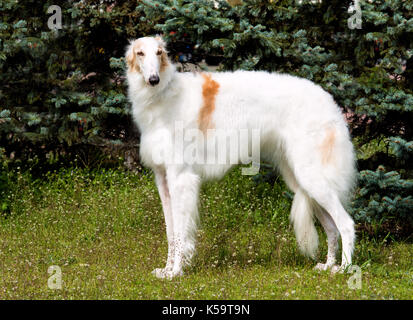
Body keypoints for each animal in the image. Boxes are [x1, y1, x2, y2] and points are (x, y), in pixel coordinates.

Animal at [124, 36, 356, 278]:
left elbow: (180, 232)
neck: (163, 95)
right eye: (140, 53)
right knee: (332, 227)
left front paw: (177, 271)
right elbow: (170, 231)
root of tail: (331, 103)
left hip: (312, 177)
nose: (153, 79)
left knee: (346, 223)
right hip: (302, 179)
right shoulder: (162, 177)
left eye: (159, 52)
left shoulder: (180, 177)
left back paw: (345, 269)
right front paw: (166, 269)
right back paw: (328, 265)